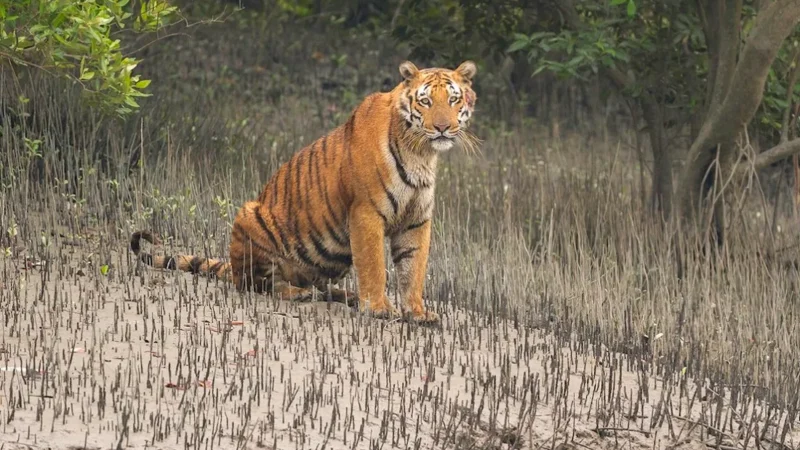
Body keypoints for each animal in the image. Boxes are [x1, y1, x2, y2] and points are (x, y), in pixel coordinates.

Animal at [130, 60, 478, 324]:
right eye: (425, 101)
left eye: (453, 100)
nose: (442, 128)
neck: (421, 153)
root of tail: (232, 264)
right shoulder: (366, 213)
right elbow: (374, 265)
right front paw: (379, 308)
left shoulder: (416, 221)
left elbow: (413, 269)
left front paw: (417, 313)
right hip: (250, 216)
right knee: (257, 284)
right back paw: (297, 294)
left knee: (318, 285)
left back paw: (345, 295)